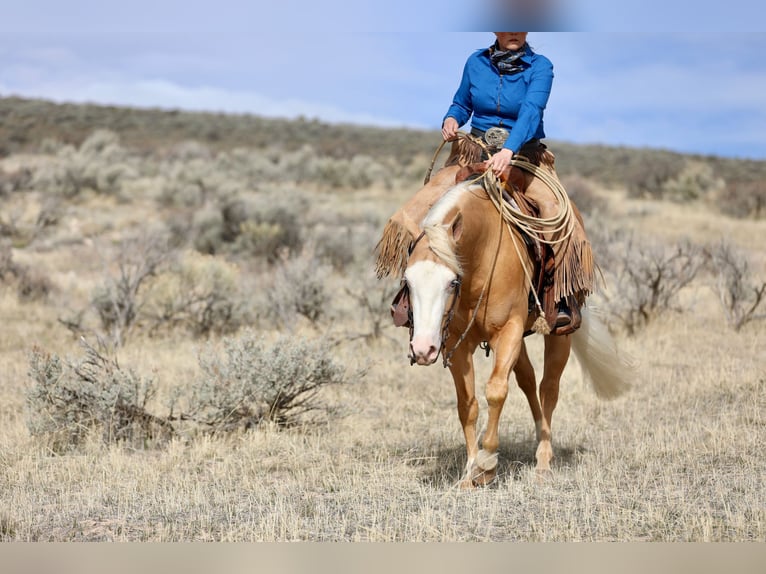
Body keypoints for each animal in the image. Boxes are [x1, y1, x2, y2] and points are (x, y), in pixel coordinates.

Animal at [378, 165, 634, 487]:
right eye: (408, 283)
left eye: (452, 282)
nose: (423, 349)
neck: (483, 256)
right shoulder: (457, 344)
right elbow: (468, 404)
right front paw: (470, 471)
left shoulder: (508, 331)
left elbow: (496, 391)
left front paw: (487, 463)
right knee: (527, 379)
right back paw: (538, 434)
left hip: (558, 334)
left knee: (548, 388)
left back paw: (543, 460)